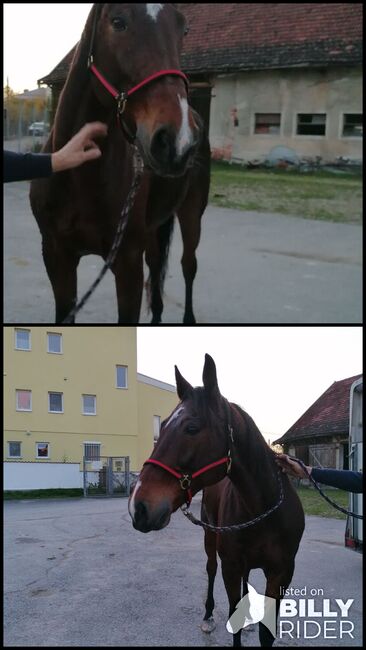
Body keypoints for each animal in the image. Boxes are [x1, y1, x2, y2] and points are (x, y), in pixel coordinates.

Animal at [30, 2, 210, 322]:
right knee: (158, 272)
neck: (80, 179)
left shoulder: (127, 265)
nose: (178, 141)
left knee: (188, 266)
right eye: (118, 22)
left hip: (191, 213)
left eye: (184, 29)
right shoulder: (56, 256)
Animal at [130, 354, 304, 644]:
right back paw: (208, 616)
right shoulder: (230, 567)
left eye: (192, 428)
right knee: (210, 568)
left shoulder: (281, 574)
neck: (263, 510)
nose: (138, 507)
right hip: (210, 539)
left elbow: (266, 633)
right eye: (162, 425)